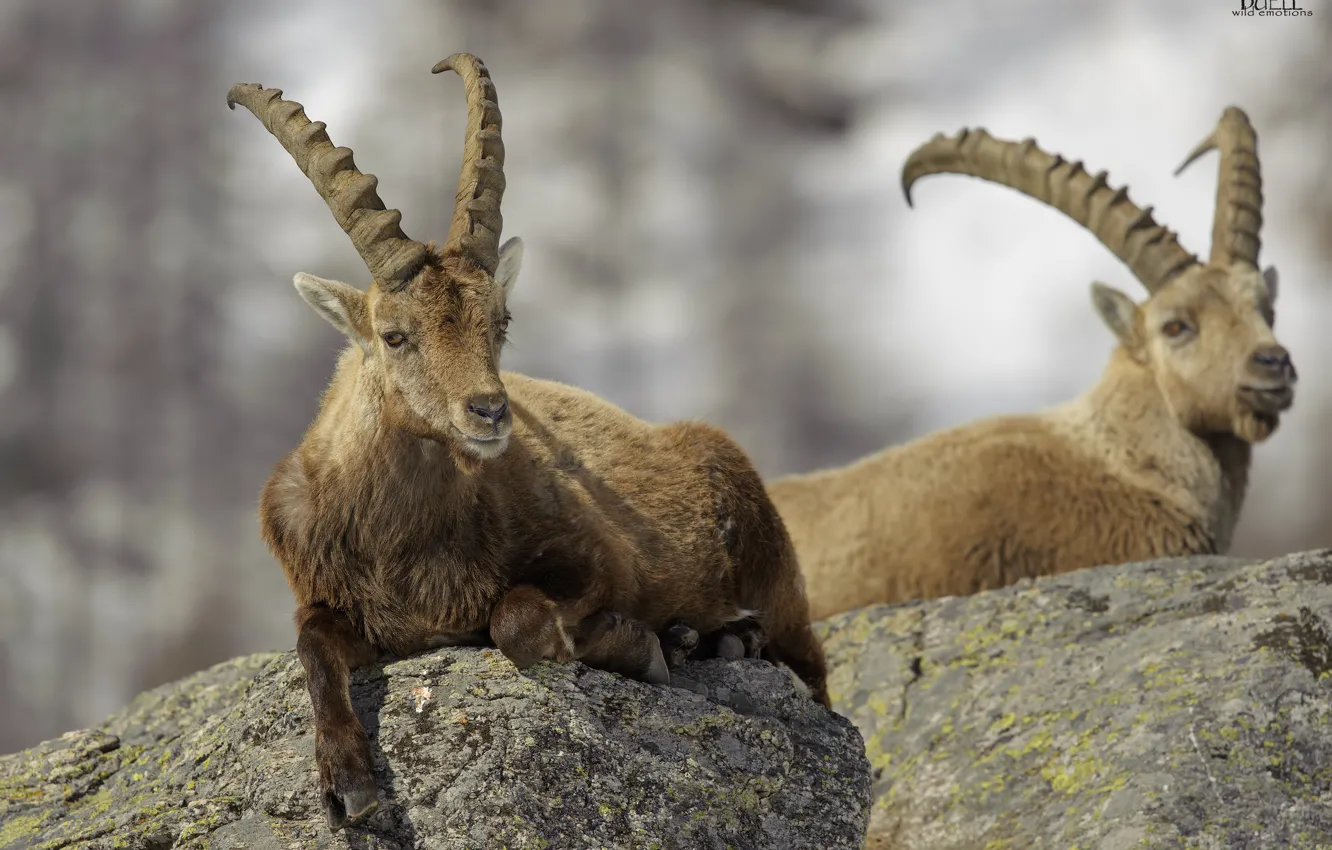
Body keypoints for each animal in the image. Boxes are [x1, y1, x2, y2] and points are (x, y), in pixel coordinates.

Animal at [228, 54, 827, 830]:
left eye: (500, 322)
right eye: (394, 335)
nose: (489, 412)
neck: (403, 541)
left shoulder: (596, 556)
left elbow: (517, 622)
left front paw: (646, 644)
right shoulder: (334, 601)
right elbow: (311, 651)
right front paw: (349, 783)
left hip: (775, 575)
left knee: (812, 671)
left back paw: (716, 637)